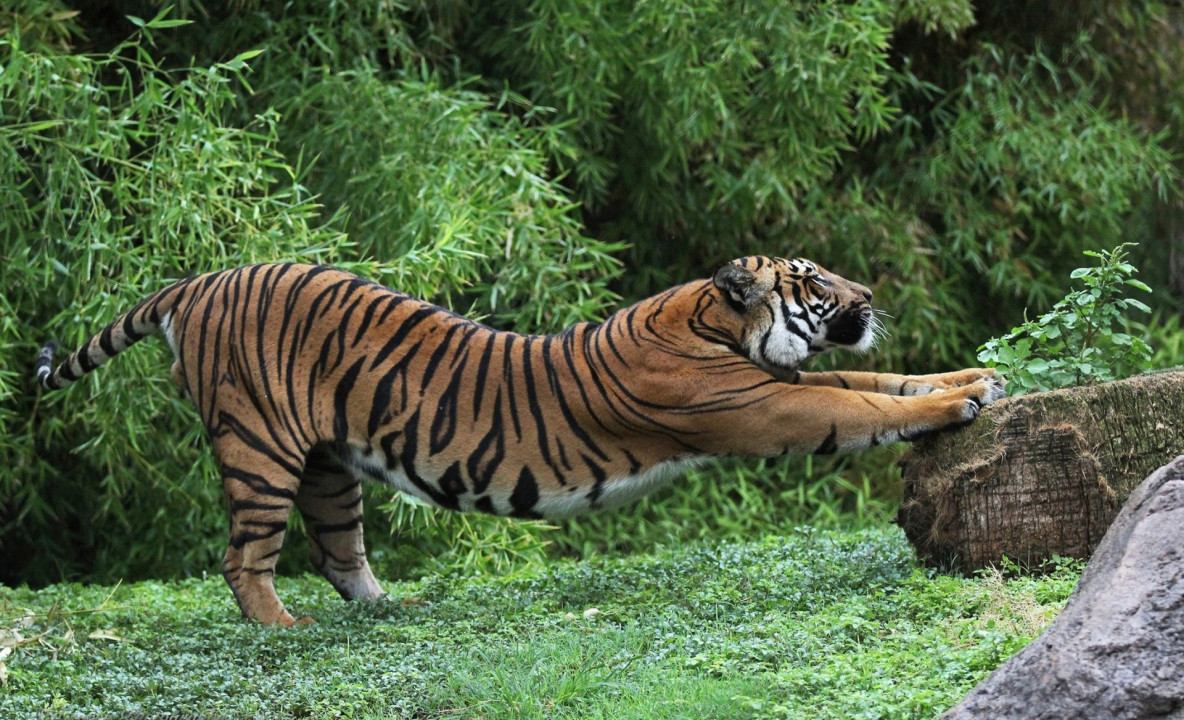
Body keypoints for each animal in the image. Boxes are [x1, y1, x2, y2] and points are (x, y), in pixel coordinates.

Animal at [34, 256, 999, 625]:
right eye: (813, 282)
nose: (869, 294)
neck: (713, 324)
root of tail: (198, 280)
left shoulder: (782, 384)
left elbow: (880, 382)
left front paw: (973, 378)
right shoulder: (764, 406)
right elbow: (860, 408)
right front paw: (959, 403)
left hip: (328, 465)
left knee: (339, 551)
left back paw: (390, 608)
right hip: (260, 449)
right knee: (245, 558)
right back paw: (281, 626)